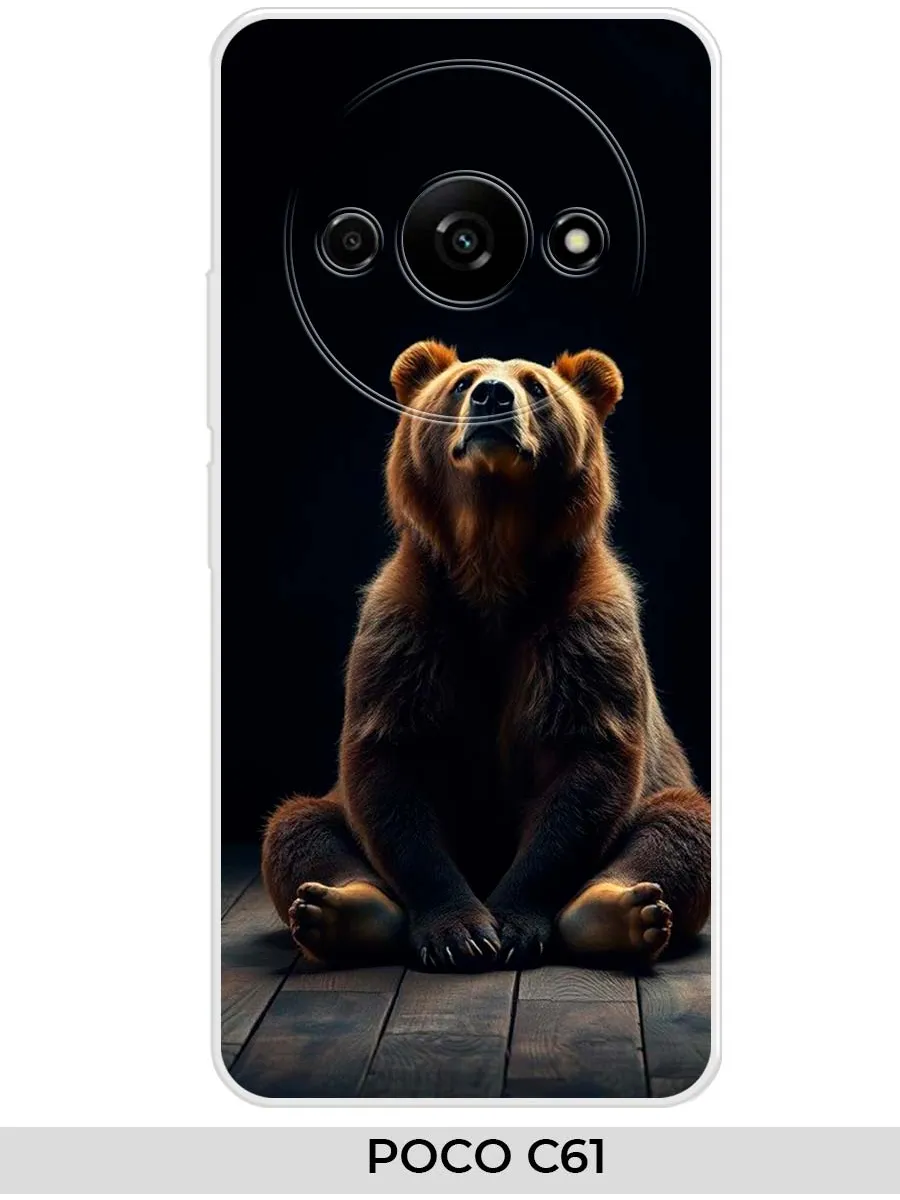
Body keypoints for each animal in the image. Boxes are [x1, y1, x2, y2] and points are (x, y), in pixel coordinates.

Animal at [261, 340, 711, 970]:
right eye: (462, 381)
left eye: (536, 386)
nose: (492, 396)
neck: (492, 560)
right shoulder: (407, 626)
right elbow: (389, 762)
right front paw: (461, 931)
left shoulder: (584, 628)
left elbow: (587, 764)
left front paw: (514, 924)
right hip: (333, 804)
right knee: (296, 823)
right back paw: (342, 909)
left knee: (684, 821)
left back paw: (618, 911)